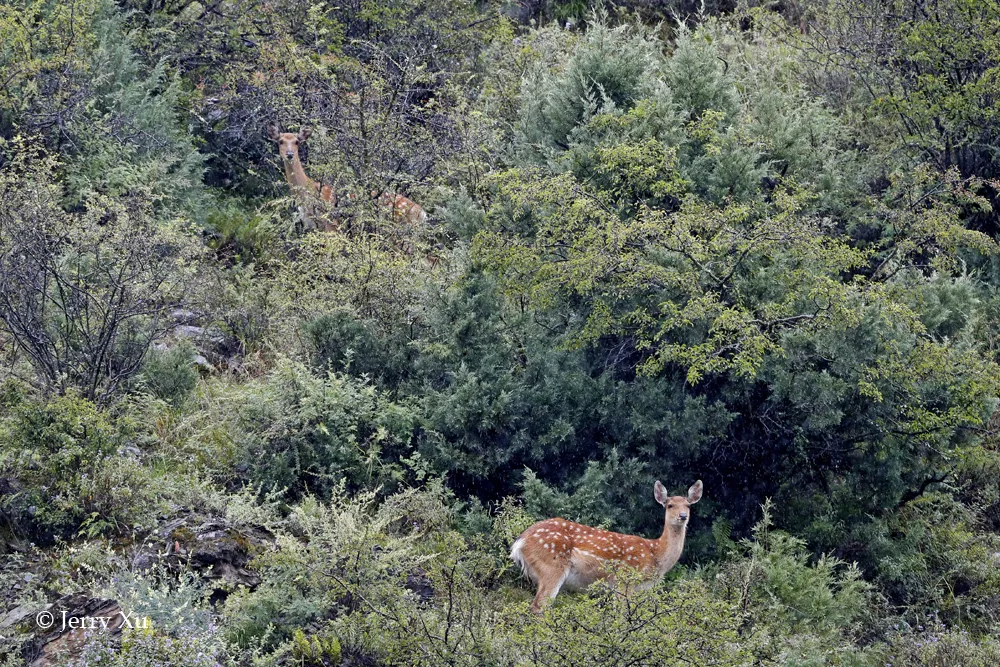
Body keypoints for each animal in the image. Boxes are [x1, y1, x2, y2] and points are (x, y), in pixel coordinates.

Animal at [512, 480, 700, 616]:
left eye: (688, 505)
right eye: (670, 505)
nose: (683, 516)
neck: (655, 554)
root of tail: (520, 541)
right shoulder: (624, 580)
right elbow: (622, 615)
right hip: (552, 567)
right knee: (539, 606)